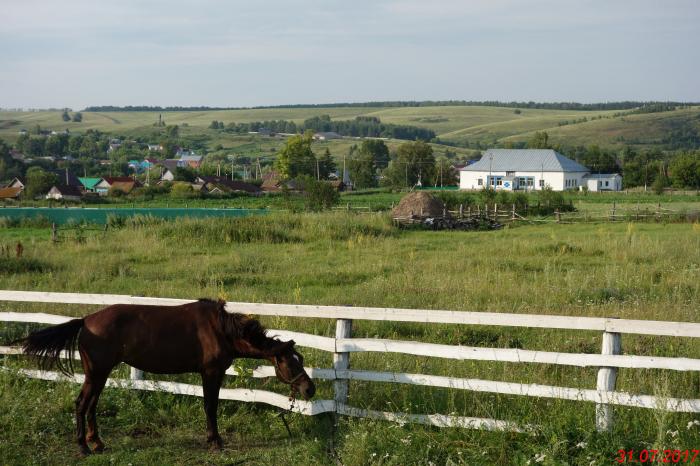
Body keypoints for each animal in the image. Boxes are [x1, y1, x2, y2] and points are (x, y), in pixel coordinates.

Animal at [16, 298, 314, 456]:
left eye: (300, 359)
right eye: (290, 362)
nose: (309, 389)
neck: (221, 329)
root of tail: (86, 320)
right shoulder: (211, 373)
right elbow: (210, 406)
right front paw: (215, 441)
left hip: (100, 374)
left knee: (91, 405)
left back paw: (97, 442)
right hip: (97, 373)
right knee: (81, 404)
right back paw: (83, 447)